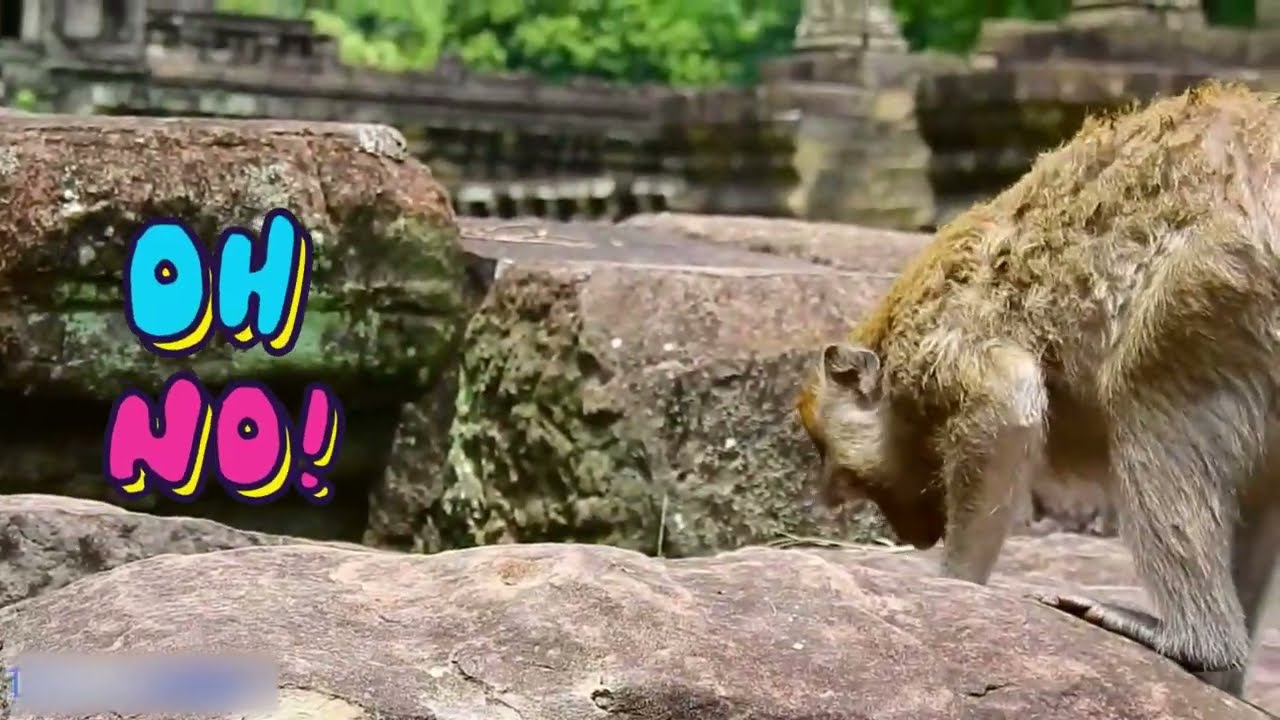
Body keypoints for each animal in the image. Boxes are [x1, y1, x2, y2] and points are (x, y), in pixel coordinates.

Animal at [795, 81, 1280, 698]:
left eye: (844, 474)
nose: (906, 533)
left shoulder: (936, 352)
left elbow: (1007, 405)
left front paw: (955, 582)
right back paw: (1224, 673)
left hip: (1223, 280)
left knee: (1148, 389)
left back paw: (1197, 641)